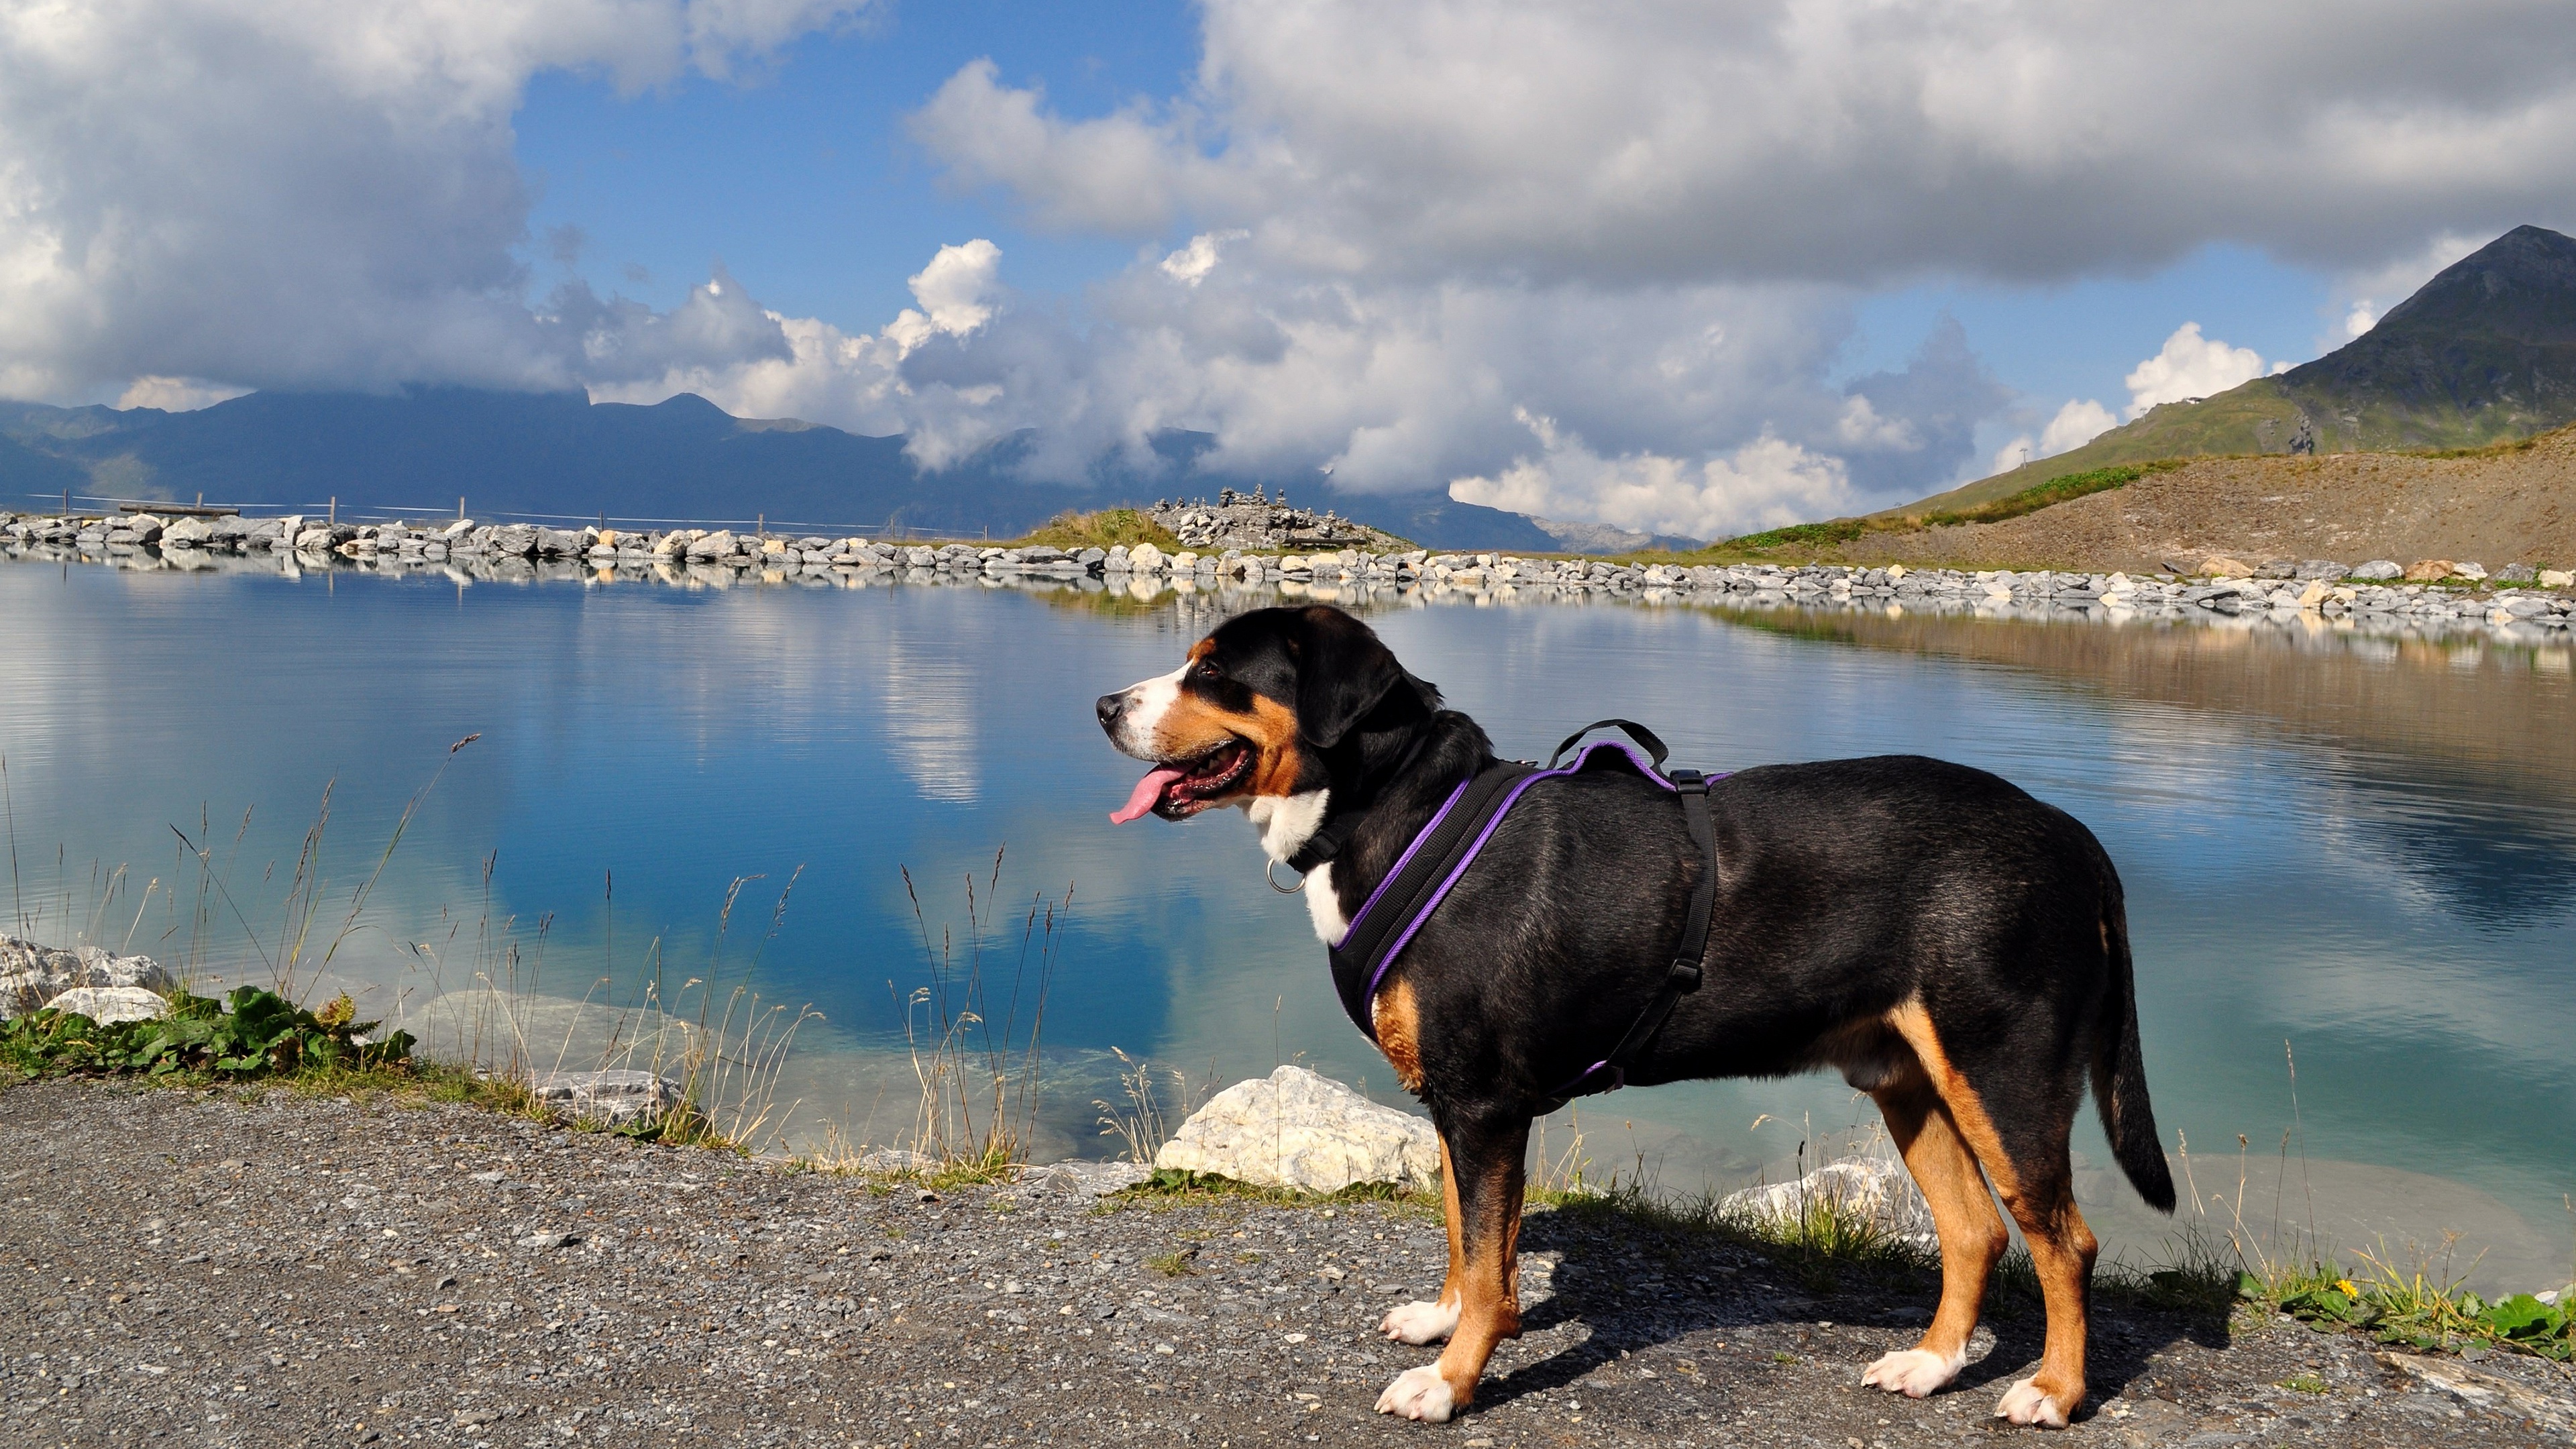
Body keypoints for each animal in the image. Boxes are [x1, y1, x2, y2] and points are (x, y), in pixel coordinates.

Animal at [1097, 598, 2184, 1423]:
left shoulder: (1484, 1106)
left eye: (1215, 672)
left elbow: (1488, 1265)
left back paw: (2053, 1392)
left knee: (2066, 1244)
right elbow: (1465, 1236)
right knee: (1976, 1235)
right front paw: (1445, 1325)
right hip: (1911, 1083)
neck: (1401, 813)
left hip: (2003, 1079)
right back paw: (1932, 1363)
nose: (1105, 703)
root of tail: (2072, 836)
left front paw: (1451, 1381)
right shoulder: (1453, 1105)